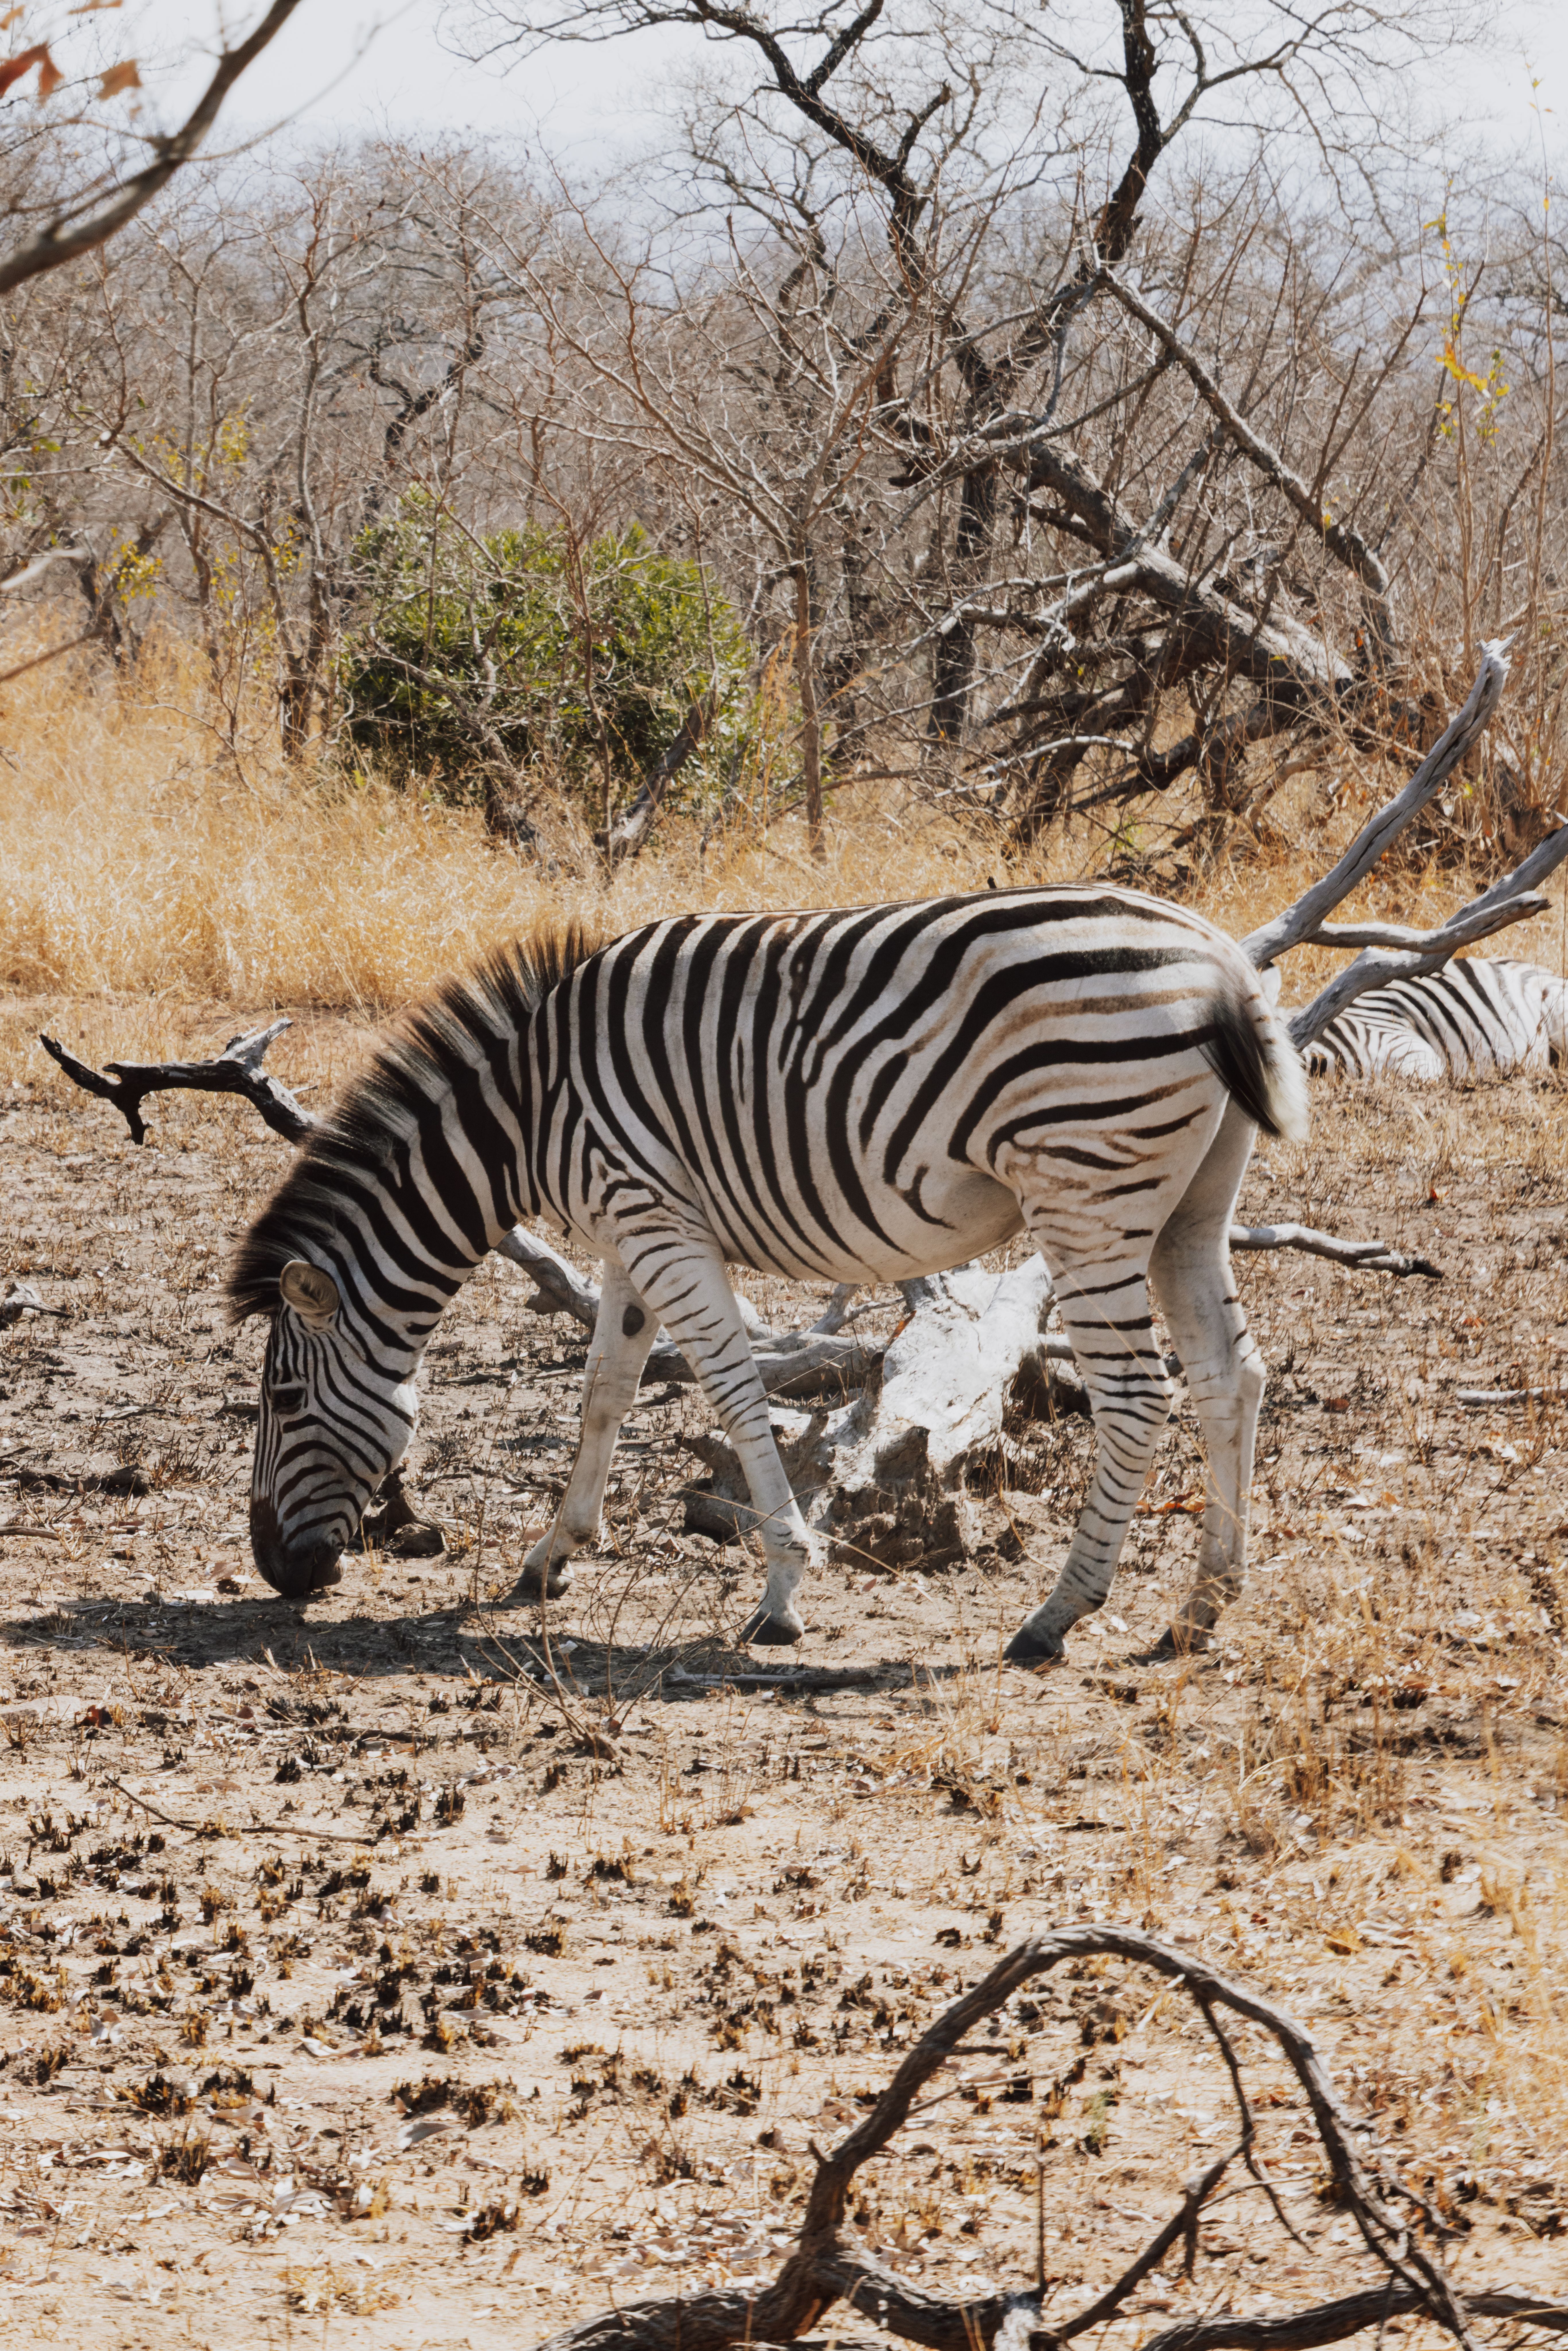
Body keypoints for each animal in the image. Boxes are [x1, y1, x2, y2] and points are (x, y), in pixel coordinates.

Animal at [228, 888, 1308, 1664]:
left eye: (282, 1400)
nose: (277, 1571)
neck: (528, 1111)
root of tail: (1221, 963)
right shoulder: (628, 1226)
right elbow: (604, 1391)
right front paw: (552, 1558)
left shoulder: (657, 1220)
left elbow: (735, 1393)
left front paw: (782, 1590)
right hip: (1192, 1204)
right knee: (1232, 1375)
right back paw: (1204, 1605)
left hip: (1083, 1195)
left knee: (1138, 1396)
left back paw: (1057, 1615)